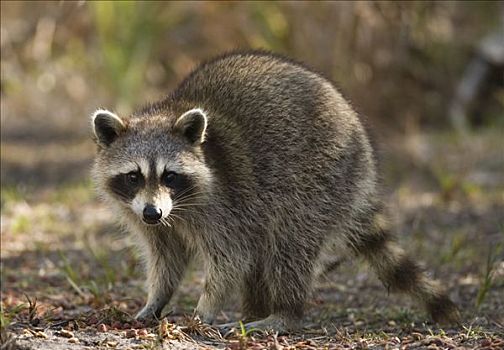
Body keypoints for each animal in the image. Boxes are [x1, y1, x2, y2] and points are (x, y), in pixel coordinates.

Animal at [90, 51, 460, 330]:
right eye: (134, 176)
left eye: (169, 176)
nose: (153, 213)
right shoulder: (145, 214)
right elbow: (167, 258)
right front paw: (155, 300)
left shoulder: (224, 201)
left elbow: (231, 258)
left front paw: (204, 308)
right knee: (264, 250)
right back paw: (255, 310)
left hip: (319, 178)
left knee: (289, 244)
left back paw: (283, 313)